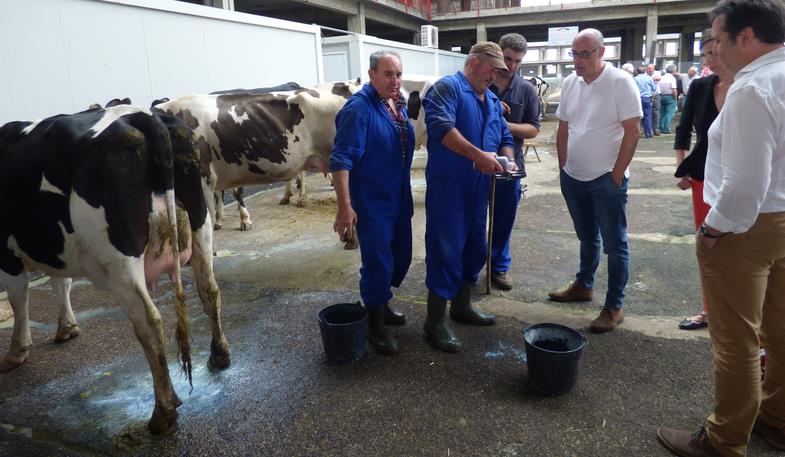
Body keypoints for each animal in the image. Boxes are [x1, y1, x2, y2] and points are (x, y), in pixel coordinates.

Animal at [1, 105, 230, 432]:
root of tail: (143, 115)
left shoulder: (6, 253)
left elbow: (19, 299)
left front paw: (17, 351)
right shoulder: (59, 247)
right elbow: (61, 282)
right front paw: (67, 327)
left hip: (120, 259)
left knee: (149, 321)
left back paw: (163, 412)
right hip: (200, 220)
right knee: (208, 288)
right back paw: (219, 354)